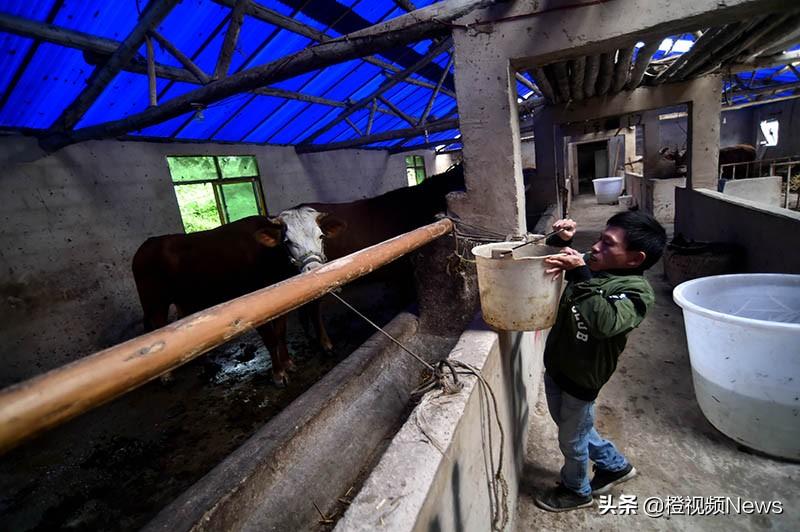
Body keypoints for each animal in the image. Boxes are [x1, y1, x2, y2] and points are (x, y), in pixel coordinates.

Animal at [132, 208, 344, 386]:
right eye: (287, 241)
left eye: (321, 236)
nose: (314, 269)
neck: (271, 262)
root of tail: (148, 244)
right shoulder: (254, 308)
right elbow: (270, 339)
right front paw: (279, 374)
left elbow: (280, 332)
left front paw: (288, 363)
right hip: (154, 302)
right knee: (157, 326)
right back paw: (166, 376)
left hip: (184, 299)